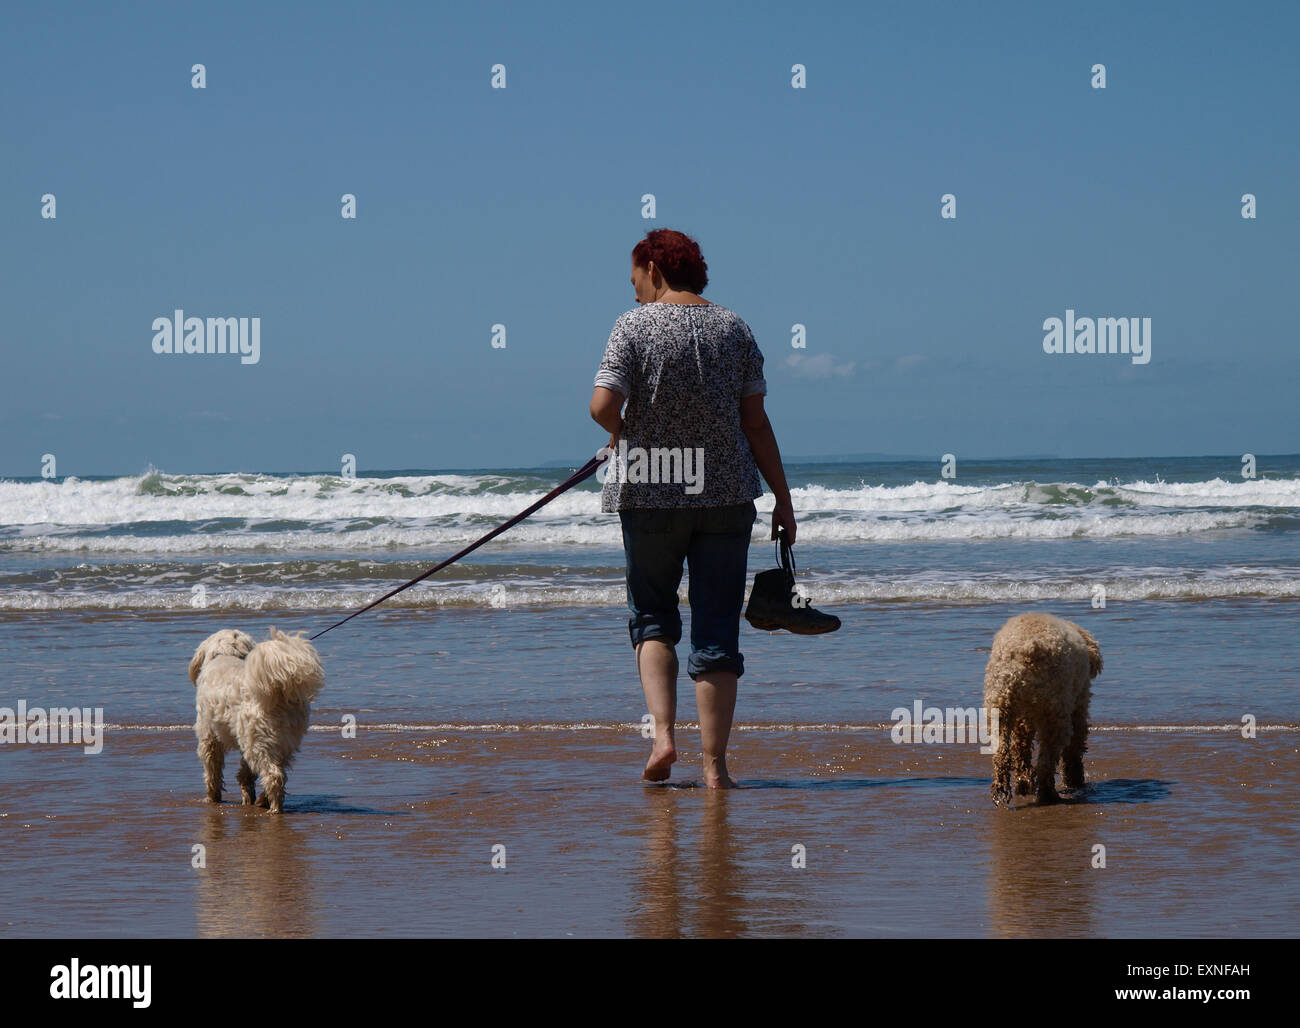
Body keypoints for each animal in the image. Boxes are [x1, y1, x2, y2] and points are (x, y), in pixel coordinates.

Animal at [189, 626, 327, 810]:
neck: (226, 654)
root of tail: (279, 692)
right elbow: (245, 772)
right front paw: (246, 790)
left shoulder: (209, 736)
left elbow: (213, 770)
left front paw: (212, 797)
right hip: (282, 742)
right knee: (278, 770)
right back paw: (262, 799)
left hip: (257, 741)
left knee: (273, 775)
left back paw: (273, 807)